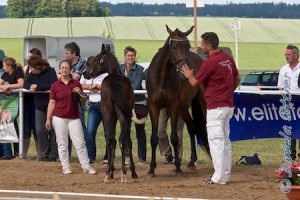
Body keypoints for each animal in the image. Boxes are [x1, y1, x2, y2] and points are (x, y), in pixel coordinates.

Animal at [82, 43, 138, 183]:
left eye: (96, 59)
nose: (85, 73)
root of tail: (114, 83)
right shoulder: (126, 118)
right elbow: (128, 141)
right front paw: (133, 171)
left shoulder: (110, 118)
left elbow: (112, 140)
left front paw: (111, 170)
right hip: (122, 117)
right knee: (122, 140)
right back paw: (123, 173)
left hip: (107, 116)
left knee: (110, 140)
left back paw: (108, 173)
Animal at [145, 25, 209, 177]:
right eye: (173, 46)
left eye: (188, 46)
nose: (186, 73)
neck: (161, 77)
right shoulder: (154, 107)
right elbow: (154, 138)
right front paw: (151, 169)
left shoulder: (173, 107)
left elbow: (174, 138)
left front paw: (178, 167)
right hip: (183, 107)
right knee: (192, 127)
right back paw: (191, 162)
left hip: (200, 102)